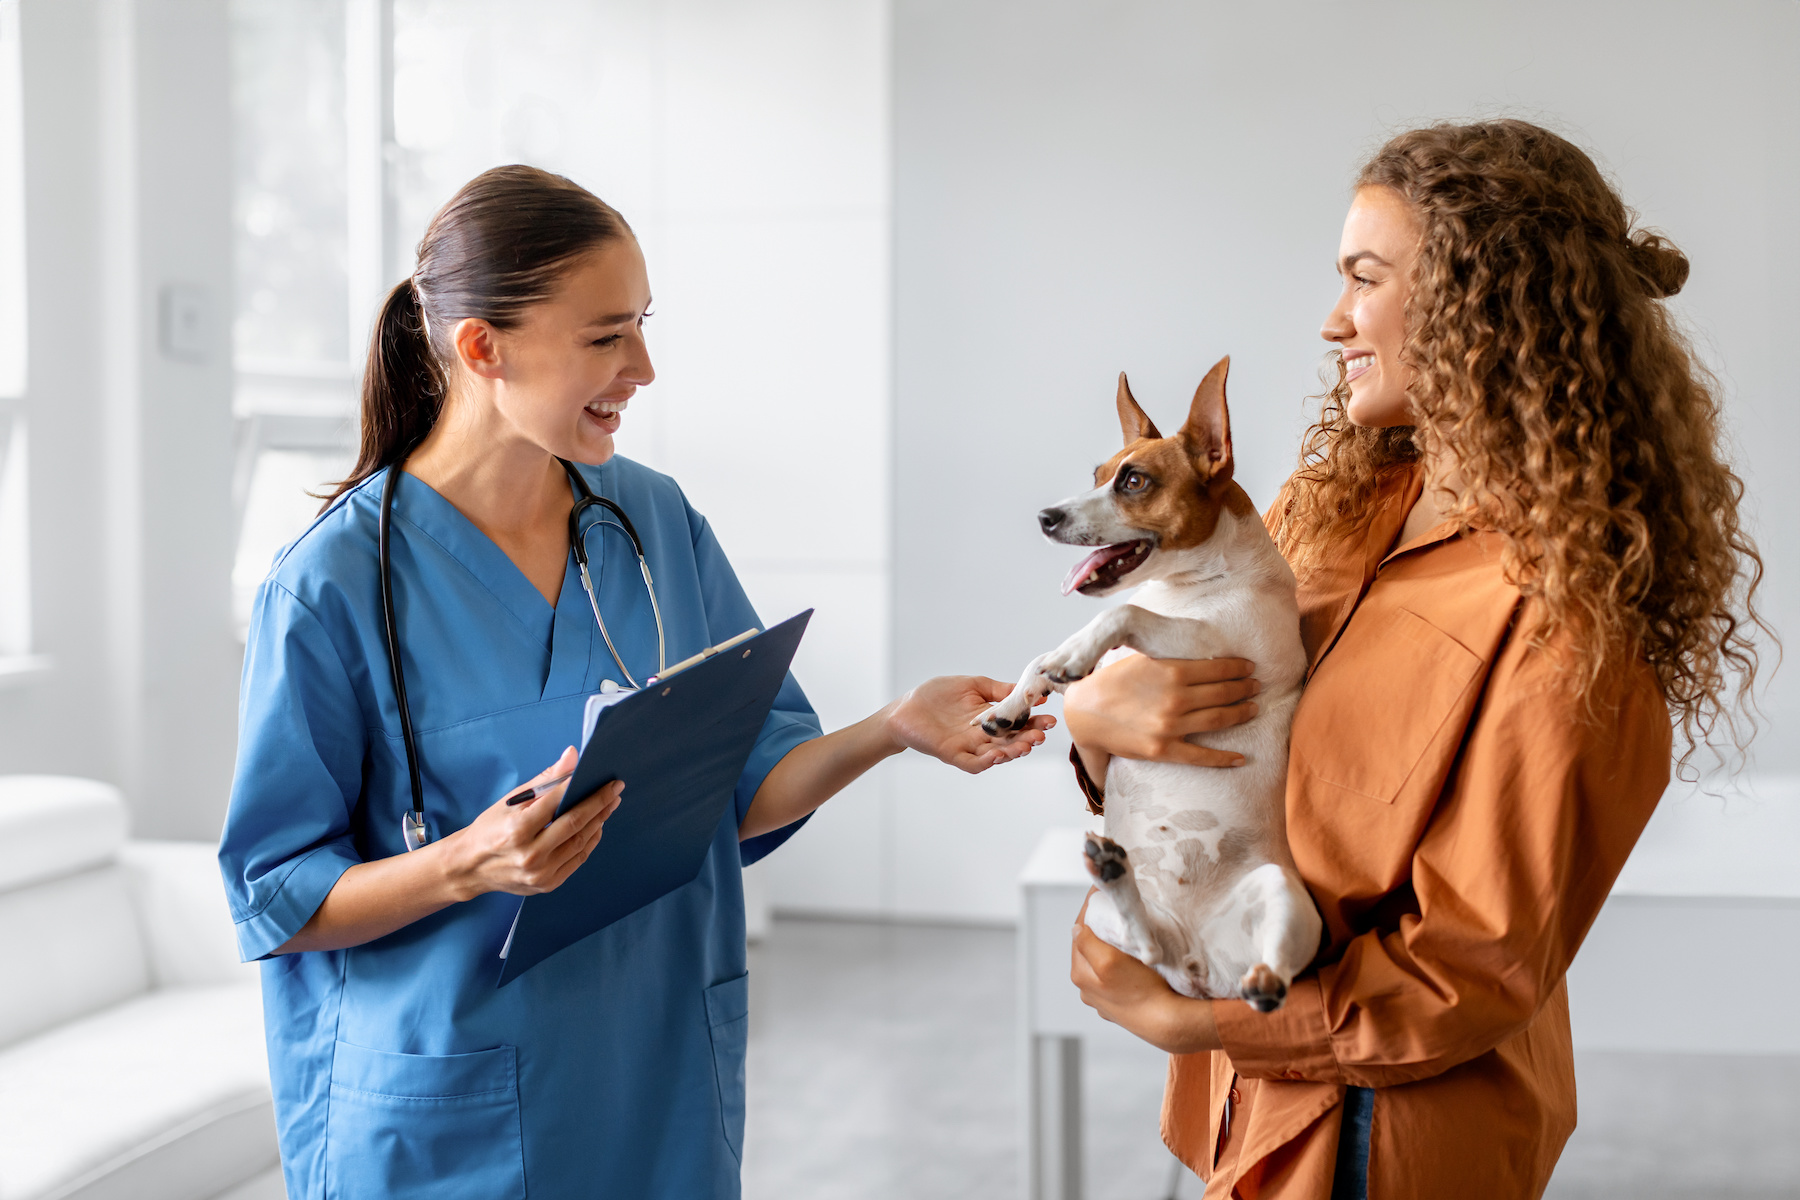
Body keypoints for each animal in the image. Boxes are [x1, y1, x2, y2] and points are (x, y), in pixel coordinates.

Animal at [986, 359, 1324, 1014]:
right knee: (1145, 943)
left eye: (1134, 481)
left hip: (1281, 894)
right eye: (1096, 475)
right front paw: (1011, 705)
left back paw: (1265, 981)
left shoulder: (1223, 651)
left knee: (1268, 969)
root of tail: (1199, 965)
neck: (1188, 588)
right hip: (1104, 919)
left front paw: (1072, 652)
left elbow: (1121, 614)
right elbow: (1040, 660)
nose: (1045, 517)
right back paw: (1118, 878)